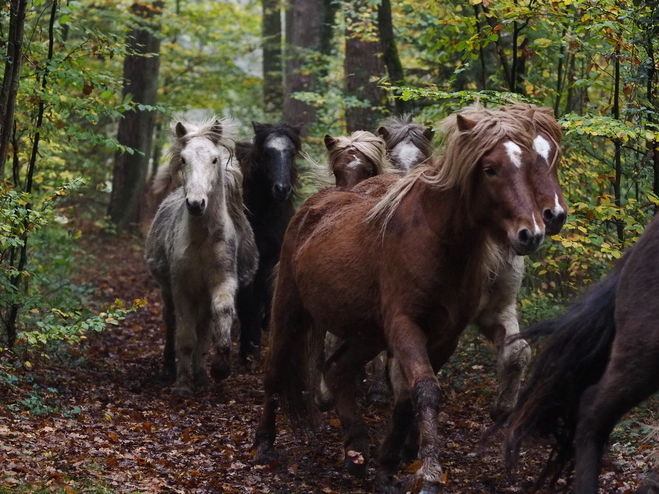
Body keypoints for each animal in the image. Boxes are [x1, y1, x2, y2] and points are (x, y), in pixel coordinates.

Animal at [235, 121, 302, 362]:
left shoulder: (271, 257)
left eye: (291, 153)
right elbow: (248, 303)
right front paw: (248, 348)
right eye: (266, 152)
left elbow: (265, 294)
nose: (281, 189)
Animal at [256, 104, 552, 494]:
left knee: (338, 369)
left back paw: (356, 450)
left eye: (530, 165)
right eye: (489, 169)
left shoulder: (444, 336)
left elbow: (409, 396)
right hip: (291, 310)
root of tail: (315, 205)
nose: (530, 233)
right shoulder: (405, 325)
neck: (435, 243)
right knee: (277, 368)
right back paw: (264, 443)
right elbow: (425, 390)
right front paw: (428, 473)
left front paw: (388, 466)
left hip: (365, 334)